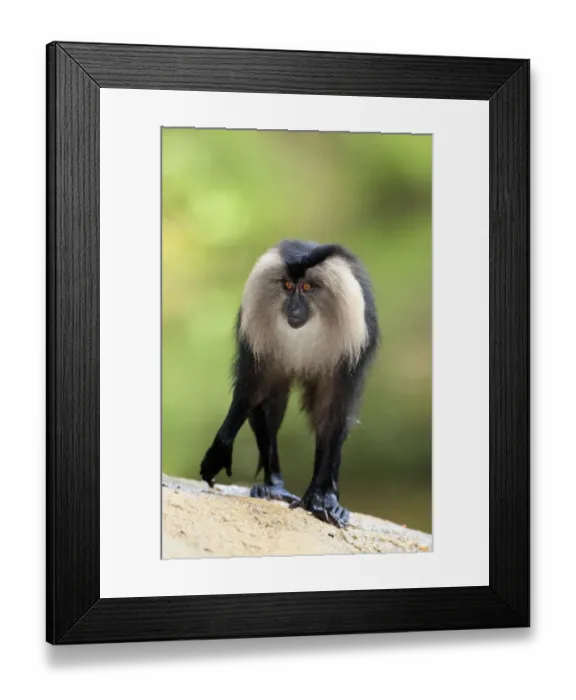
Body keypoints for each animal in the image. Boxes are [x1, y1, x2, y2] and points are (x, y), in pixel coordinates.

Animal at [199, 239, 380, 528]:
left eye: (306, 288)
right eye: (286, 285)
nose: (293, 308)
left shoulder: (350, 349)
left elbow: (332, 416)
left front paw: (320, 498)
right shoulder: (260, 343)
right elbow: (253, 394)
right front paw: (221, 448)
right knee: (269, 410)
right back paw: (273, 486)